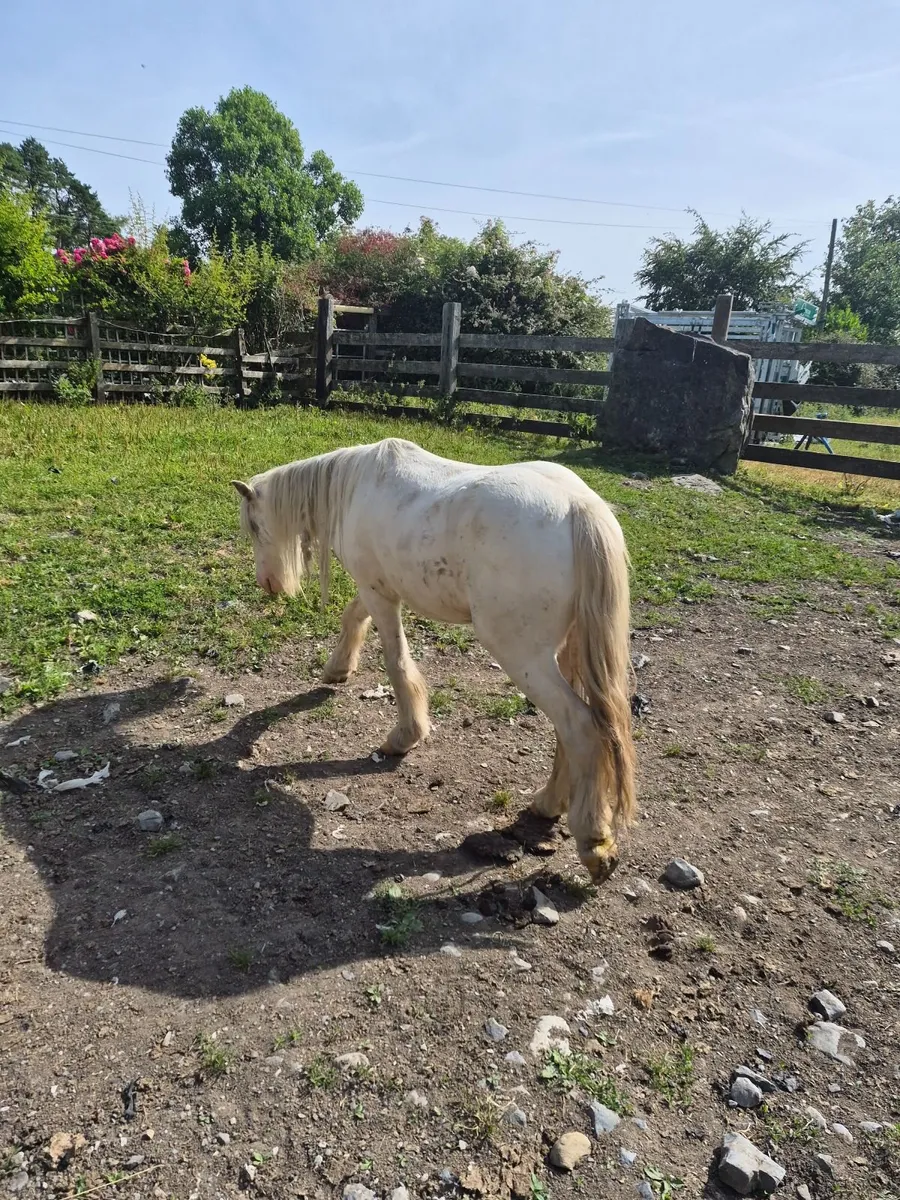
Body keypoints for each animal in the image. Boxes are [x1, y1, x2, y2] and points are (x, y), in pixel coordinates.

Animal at [231, 437, 636, 883]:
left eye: (255, 527)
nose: (267, 584)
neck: (354, 484)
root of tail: (579, 507)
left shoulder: (380, 594)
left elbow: (396, 662)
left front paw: (404, 737)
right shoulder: (379, 588)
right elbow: (353, 616)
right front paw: (337, 669)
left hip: (523, 656)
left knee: (580, 726)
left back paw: (593, 841)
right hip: (566, 652)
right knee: (570, 730)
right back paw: (549, 804)